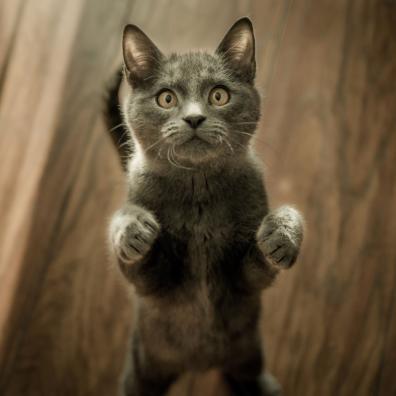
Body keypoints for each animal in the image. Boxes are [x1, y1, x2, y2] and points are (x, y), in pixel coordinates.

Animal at [108, 17, 304, 394]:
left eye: (219, 95)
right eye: (166, 98)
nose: (194, 118)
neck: (198, 191)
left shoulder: (245, 284)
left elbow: (262, 262)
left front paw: (282, 235)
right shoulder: (151, 288)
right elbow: (134, 258)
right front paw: (134, 229)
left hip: (248, 352)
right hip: (143, 364)